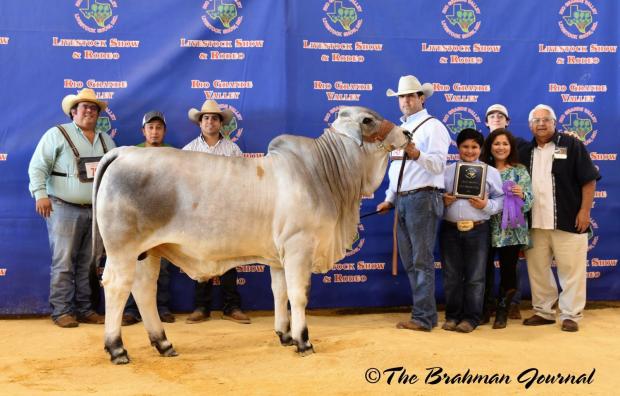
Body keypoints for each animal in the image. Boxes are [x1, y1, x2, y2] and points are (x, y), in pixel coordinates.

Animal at [93, 106, 412, 364]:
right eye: (368, 120)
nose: (407, 132)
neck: (323, 174)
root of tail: (124, 152)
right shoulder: (298, 248)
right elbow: (298, 295)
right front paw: (303, 341)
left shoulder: (278, 257)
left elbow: (279, 292)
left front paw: (285, 335)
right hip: (123, 249)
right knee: (117, 287)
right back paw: (117, 348)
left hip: (148, 251)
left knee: (143, 289)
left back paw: (163, 343)